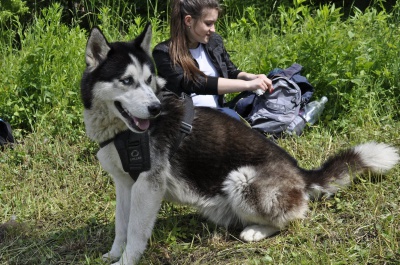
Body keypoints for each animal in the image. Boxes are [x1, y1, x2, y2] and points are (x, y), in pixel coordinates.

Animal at [80, 23, 396, 262]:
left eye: (148, 80)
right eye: (127, 81)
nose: (156, 108)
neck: (120, 131)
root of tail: (301, 174)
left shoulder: (148, 185)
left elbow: (135, 233)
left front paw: (125, 260)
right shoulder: (125, 184)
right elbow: (121, 226)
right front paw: (112, 255)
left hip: (240, 179)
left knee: (295, 217)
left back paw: (256, 231)